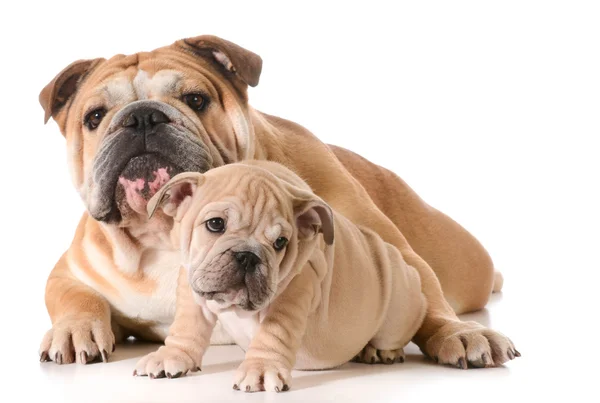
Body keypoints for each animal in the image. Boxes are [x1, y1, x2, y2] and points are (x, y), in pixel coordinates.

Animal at [134, 161, 428, 392]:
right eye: (215, 224)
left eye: (280, 242)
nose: (248, 256)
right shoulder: (193, 281)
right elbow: (187, 325)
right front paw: (172, 354)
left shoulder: (295, 291)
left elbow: (274, 332)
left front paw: (261, 368)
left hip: (399, 308)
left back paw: (382, 350)